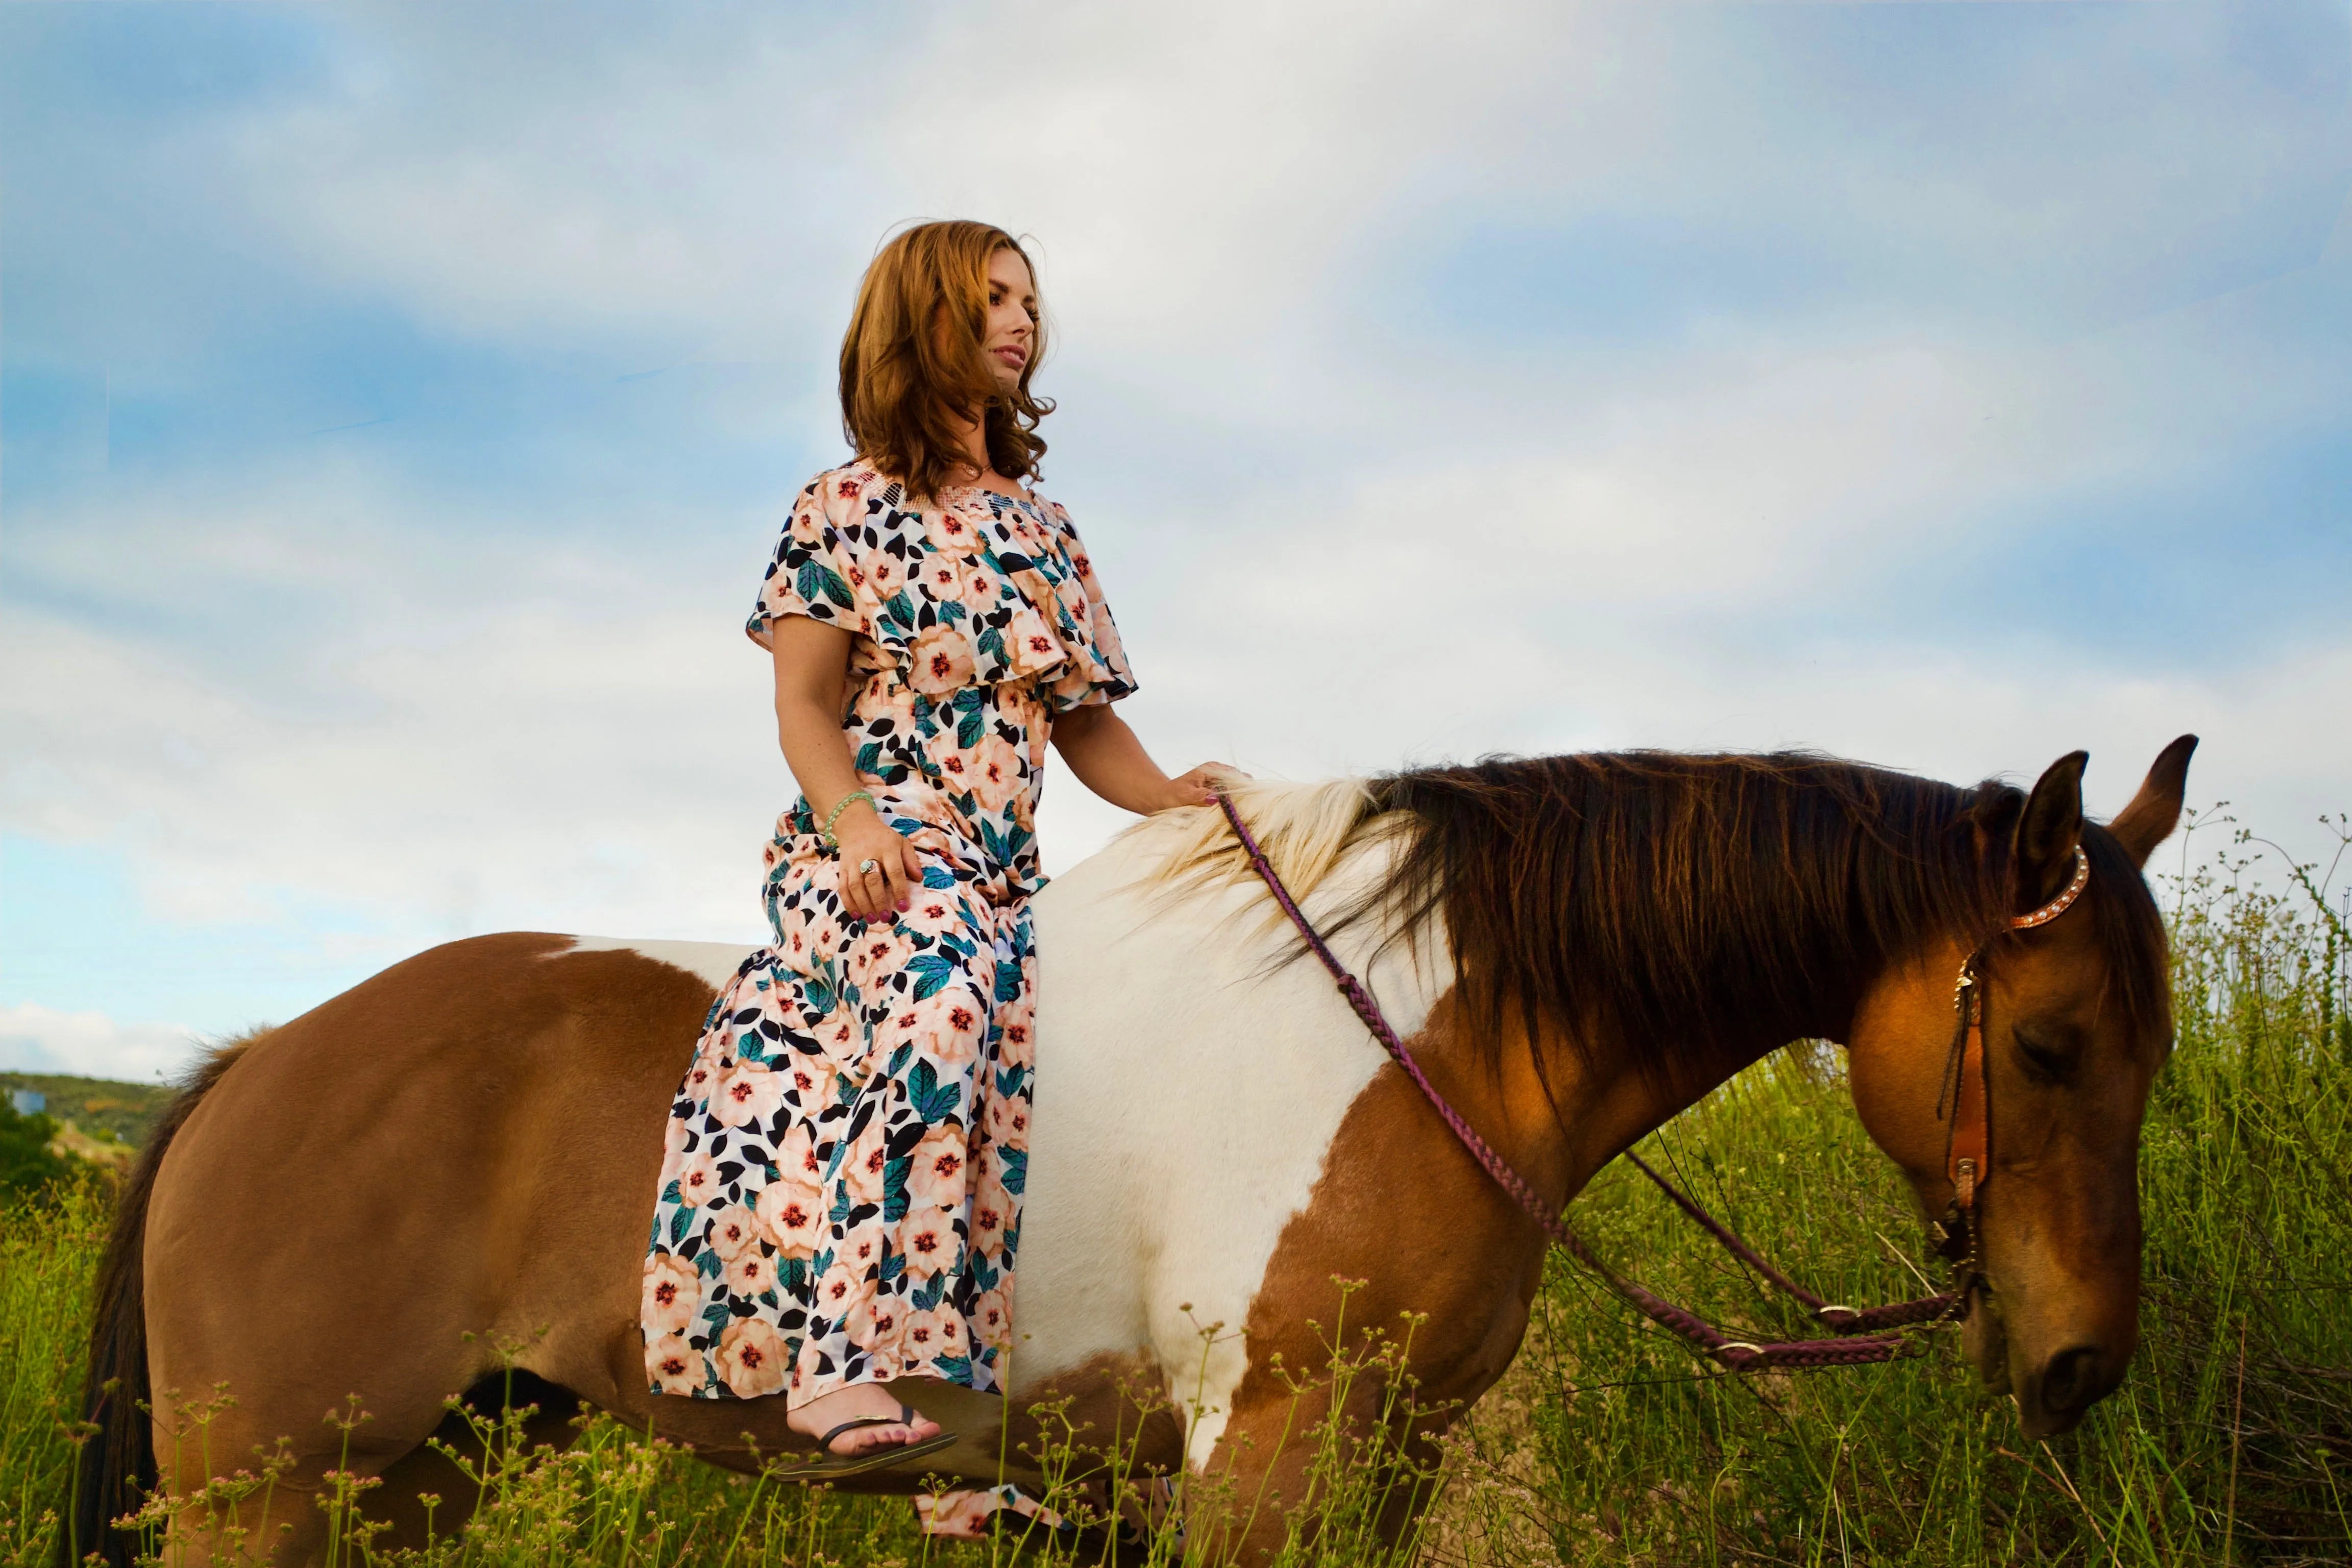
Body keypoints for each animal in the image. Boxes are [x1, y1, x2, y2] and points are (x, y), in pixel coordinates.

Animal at [83, 743, 2192, 1561]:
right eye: (2052, 1042)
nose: (2081, 1356)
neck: (1420, 1023)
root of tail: (257, 1068)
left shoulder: (1382, 1460)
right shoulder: (1266, 1459)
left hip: (413, 1476)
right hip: (267, 1496)